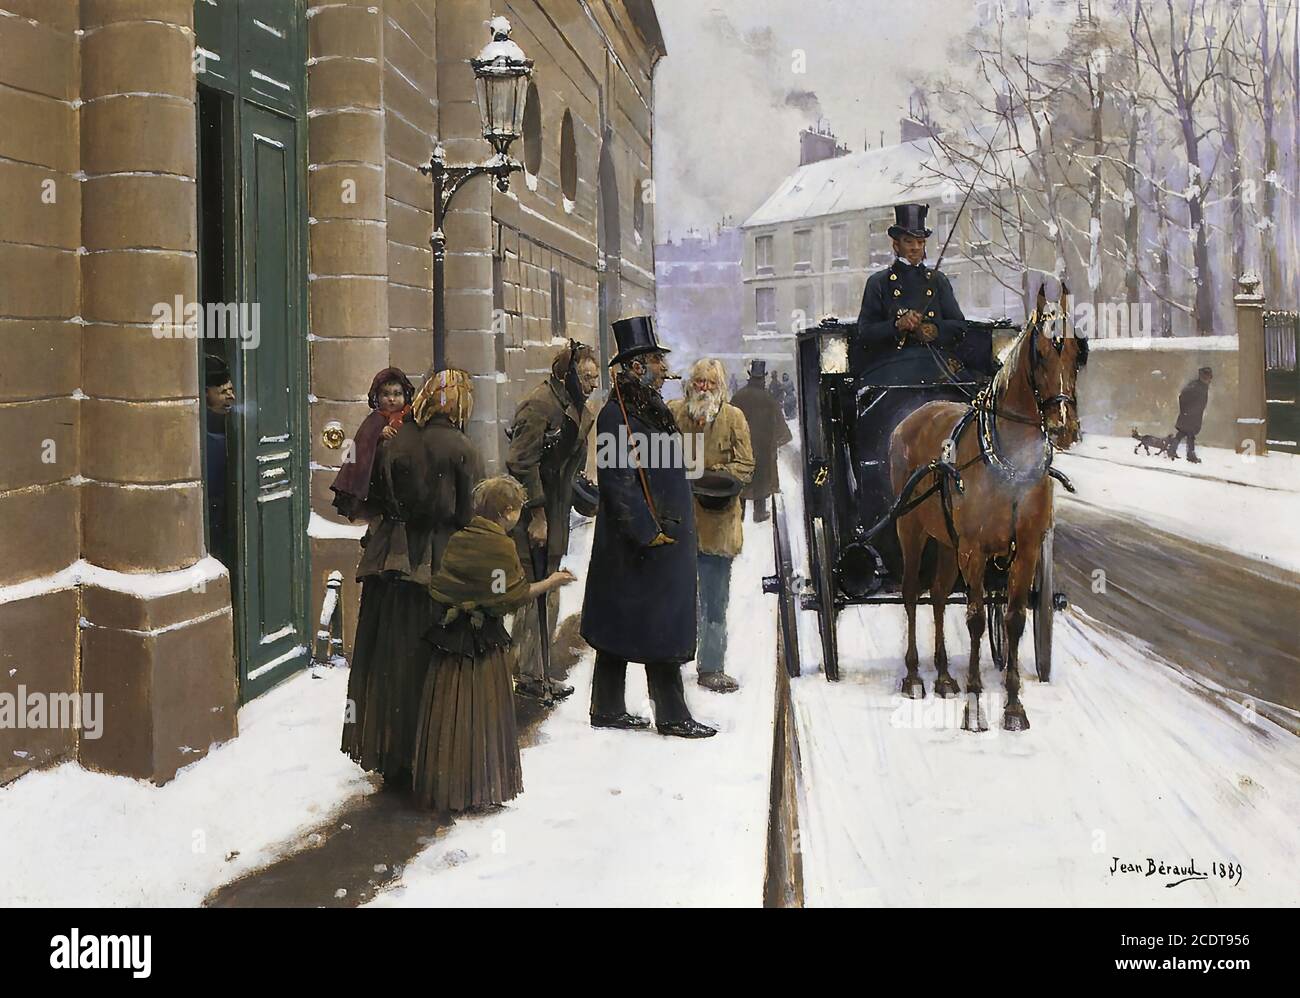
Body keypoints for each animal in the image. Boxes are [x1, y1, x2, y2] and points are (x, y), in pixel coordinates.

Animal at [894, 284, 1086, 727]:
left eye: (1076, 351)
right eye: (1040, 353)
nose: (1063, 427)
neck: (1010, 460)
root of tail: (914, 414)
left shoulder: (1026, 549)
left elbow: (1013, 619)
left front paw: (1013, 703)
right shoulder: (974, 550)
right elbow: (977, 618)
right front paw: (975, 700)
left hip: (946, 541)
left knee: (939, 594)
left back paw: (944, 675)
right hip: (911, 530)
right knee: (912, 593)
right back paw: (913, 676)